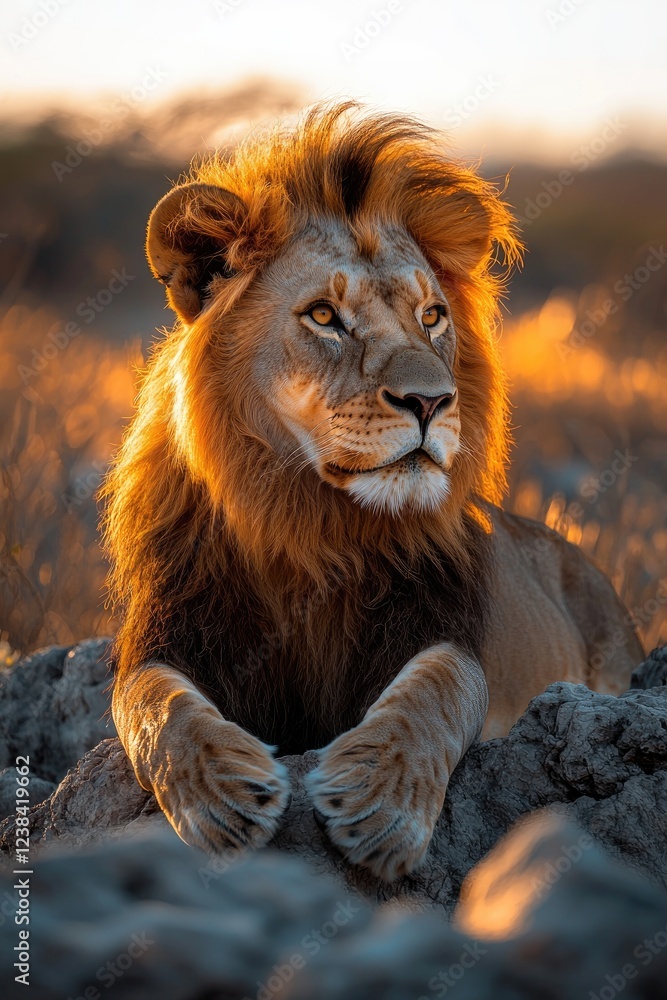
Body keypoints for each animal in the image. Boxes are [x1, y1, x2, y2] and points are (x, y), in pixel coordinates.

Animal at [102, 103, 643, 881]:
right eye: (324, 316)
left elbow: (435, 690)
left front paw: (379, 806)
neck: (310, 523)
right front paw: (223, 797)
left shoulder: (444, 627)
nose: (431, 401)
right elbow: (150, 703)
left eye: (432, 316)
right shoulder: (170, 631)